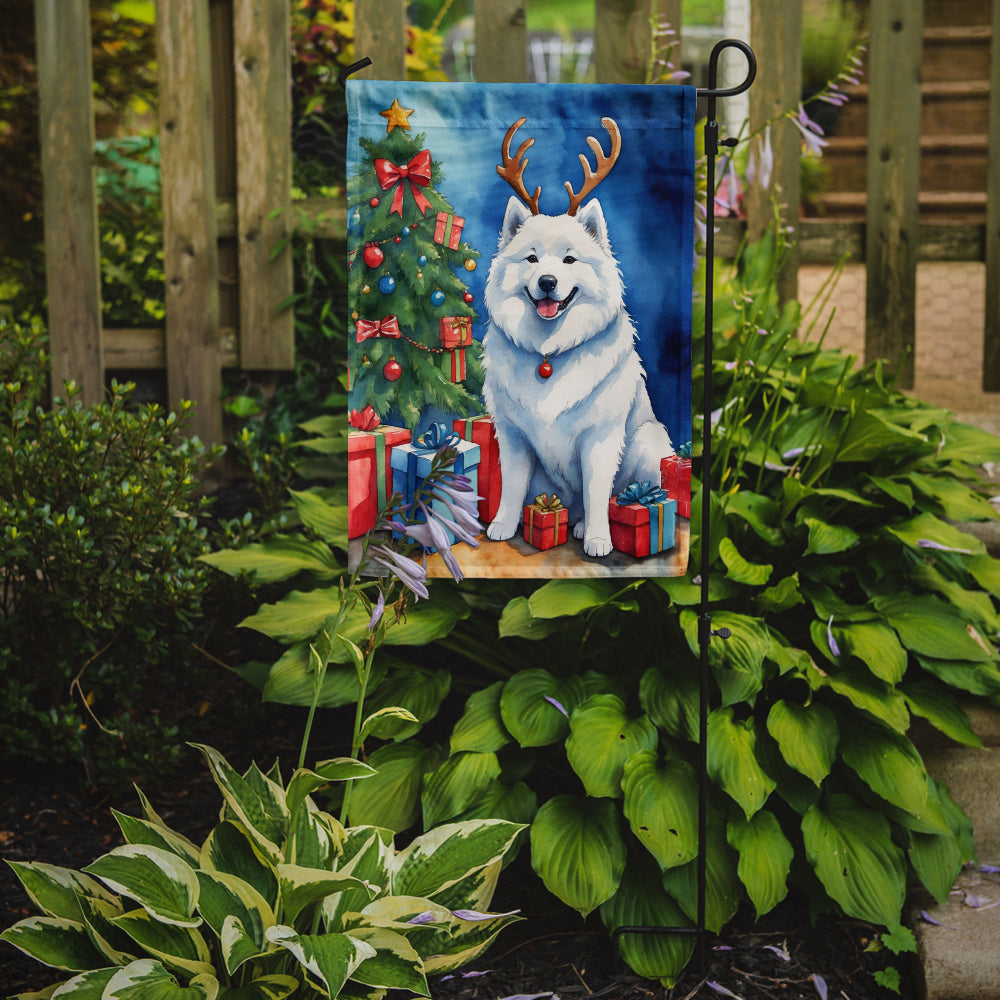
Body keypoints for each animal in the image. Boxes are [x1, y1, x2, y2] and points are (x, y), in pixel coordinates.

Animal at [482, 188, 672, 560]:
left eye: (569, 260)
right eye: (531, 259)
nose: (547, 282)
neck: (549, 352)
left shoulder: (600, 437)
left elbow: (596, 492)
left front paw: (598, 540)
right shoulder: (513, 435)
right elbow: (512, 485)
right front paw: (502, 525)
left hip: (648, 439)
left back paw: (584, 526)